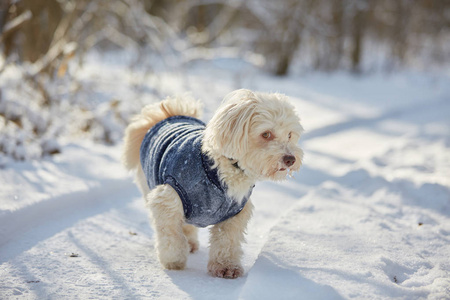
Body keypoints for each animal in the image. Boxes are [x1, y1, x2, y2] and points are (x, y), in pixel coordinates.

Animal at [122, 89, 302, 278]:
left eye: (290, 135)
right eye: (266, 134)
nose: (290, 159)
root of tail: (169, 113)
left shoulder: (234, 214)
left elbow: (227, 241)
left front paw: (226, 266)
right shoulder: (167, 198)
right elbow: (171, 234)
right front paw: (174, 259)